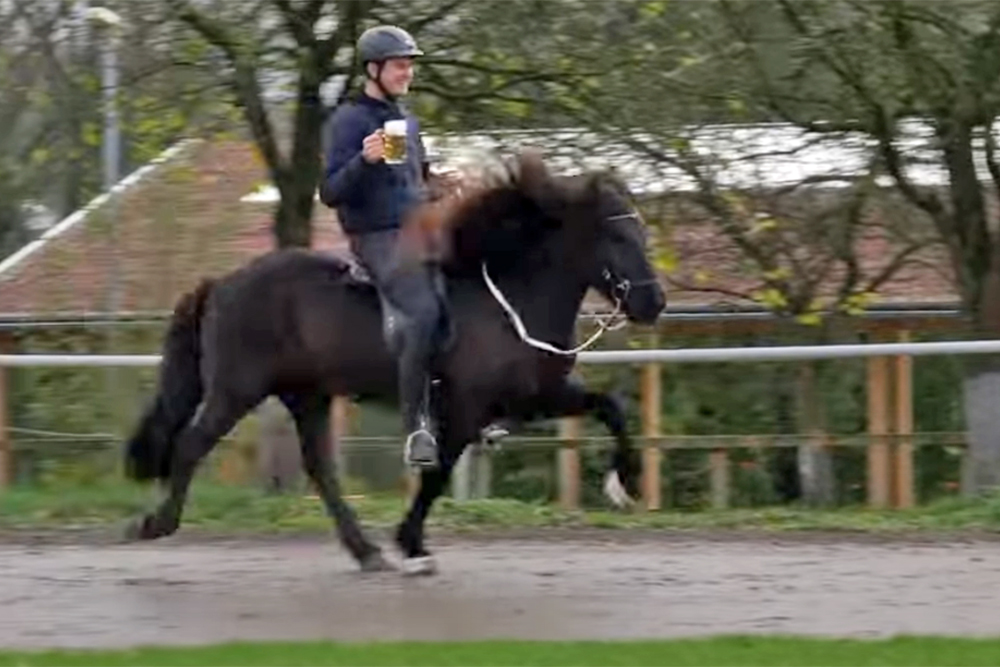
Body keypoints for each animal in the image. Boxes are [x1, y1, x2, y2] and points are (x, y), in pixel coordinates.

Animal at [121, 151, 664, 576]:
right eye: (617, 237)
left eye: (641, 231)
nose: (653, 303)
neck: (509, 299)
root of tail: (220, 283)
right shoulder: (466, 409)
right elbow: (437, 472)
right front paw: (412, 543)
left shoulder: (535, 398)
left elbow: (612, 408)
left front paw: (622, 484)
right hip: (236, 390)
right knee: (191, 445)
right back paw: (154, 524)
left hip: (308, 395)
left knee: (320, 469)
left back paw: (365, 551)